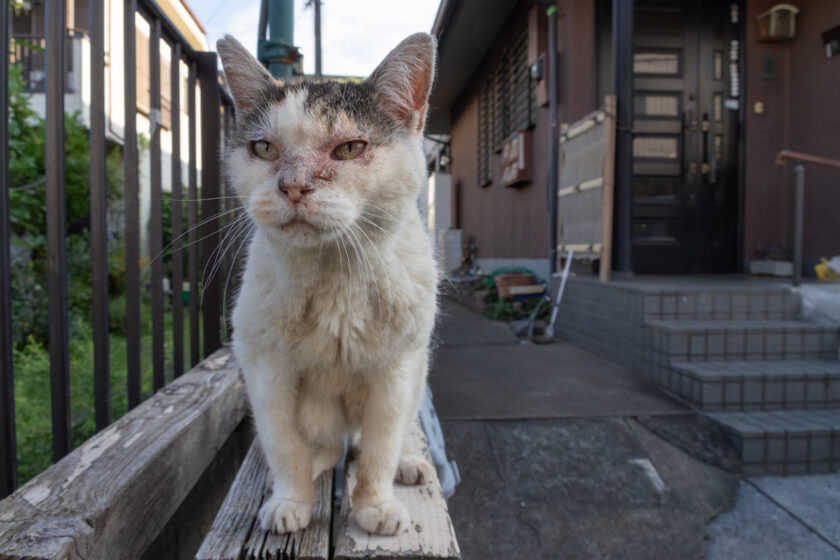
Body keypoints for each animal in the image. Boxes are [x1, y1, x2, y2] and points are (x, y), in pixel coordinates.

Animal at [217, 31, 440, 540]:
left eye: (350, 149)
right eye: (263, 149)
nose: (293, 186)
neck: (335, 278)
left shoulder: (396, 373)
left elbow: (380, 448)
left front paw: (375, 506)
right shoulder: (266, 370)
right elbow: (284, 446)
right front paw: (290, 501)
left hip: (418, 374)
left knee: (377, 440)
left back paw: (409, 463)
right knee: (328, 447)